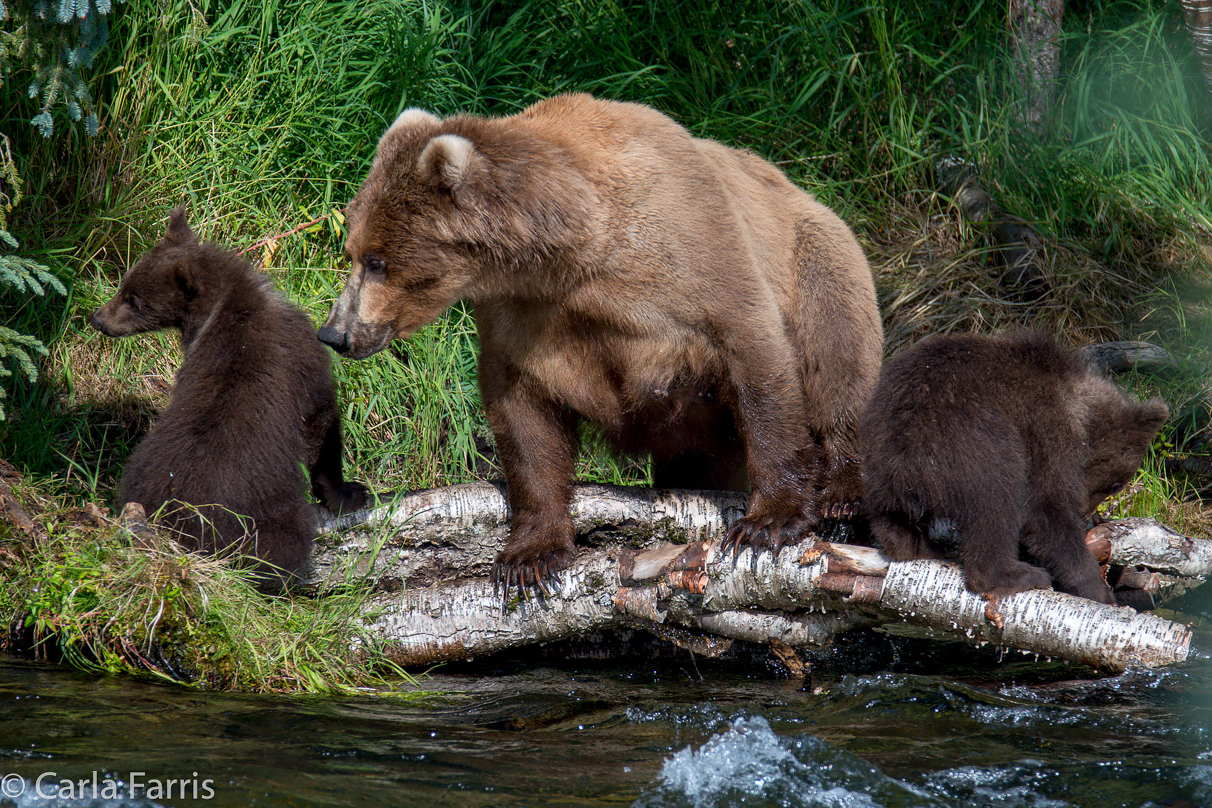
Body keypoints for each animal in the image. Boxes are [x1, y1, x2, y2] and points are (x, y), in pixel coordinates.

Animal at [319, 93, 882, 593]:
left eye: (377, 260)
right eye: (352, 250)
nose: (335, 332)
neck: (575, 248)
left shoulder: (693, 256)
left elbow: (754, 356)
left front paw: (768, 523)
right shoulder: (525, 316)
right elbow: (524, 418)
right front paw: (530, 556)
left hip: (820, 260)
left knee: (839, 363)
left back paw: (842, 492)